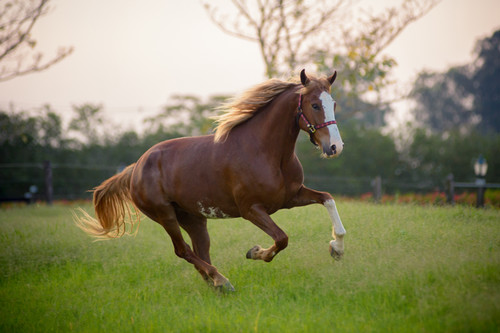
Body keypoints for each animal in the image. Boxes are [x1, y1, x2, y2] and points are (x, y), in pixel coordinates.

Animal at [76, 69, 346, 290]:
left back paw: (216, 283)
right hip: (165, 215)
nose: (335, 147)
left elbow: (327, 199)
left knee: (200, 251)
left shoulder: (290, 197)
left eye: (333, 103)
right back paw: (222, 281)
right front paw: (255, 252)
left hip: (194, 219)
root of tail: (136, 168)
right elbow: (281, 239)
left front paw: (337, 249)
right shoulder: (251, 209)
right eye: (314, 105)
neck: (266, 152)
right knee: (183, 250)